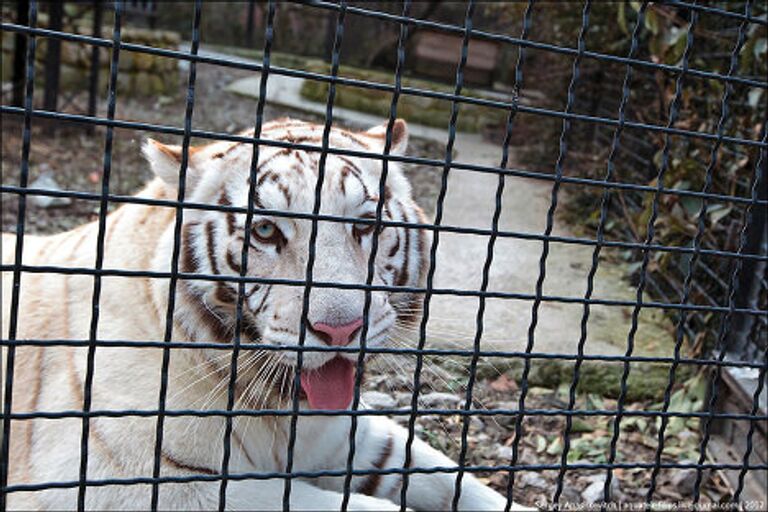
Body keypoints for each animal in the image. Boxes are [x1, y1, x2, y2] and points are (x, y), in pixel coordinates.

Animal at [1, 119, 528, 512]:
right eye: (267, 231)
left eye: (366, 225)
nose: (341, 330)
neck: (281, 409)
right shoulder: (124, 481)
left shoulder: (348, 437)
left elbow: (448, 476)